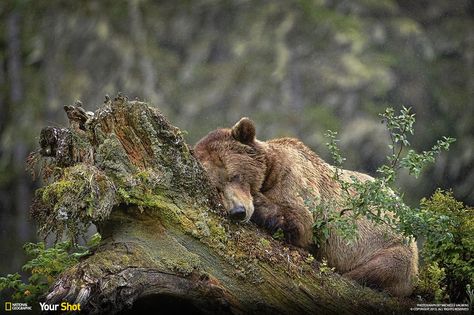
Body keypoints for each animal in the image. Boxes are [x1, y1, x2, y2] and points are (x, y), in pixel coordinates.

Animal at [194, 117, 416, 298]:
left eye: (235, 175)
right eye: (217, 187)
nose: (238, 212)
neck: (270, 172)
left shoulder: (296, 180)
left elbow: (301, 223)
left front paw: (258, 201)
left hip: (393, 247)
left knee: (379, 268)